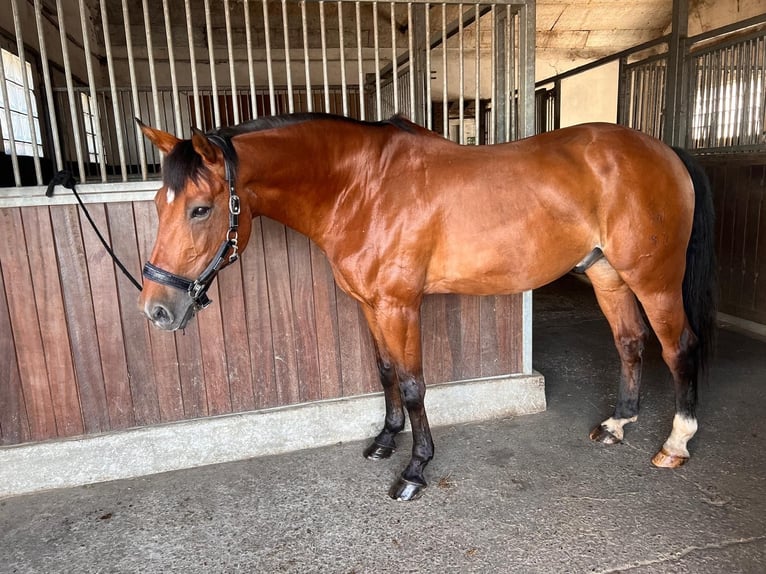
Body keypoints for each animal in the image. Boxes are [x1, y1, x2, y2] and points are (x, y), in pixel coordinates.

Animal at [140, 111, 720, 500]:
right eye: (157, 204)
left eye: (199, 209)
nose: (157, 310)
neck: (362, 188)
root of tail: (665, 151)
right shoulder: (371, 305)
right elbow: (386, 372)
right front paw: (384, 441)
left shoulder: (400, 306)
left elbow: (415, 384)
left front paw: (415, 469)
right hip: (608, 274)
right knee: (630, 341)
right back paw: (618, 423)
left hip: (654, 279)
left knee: (679, 347)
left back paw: (676, 443)